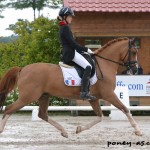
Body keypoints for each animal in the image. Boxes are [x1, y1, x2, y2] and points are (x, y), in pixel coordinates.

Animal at [0, 37, 142, 137]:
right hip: (28, 97)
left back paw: (64, 131)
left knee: (42, 114)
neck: (104, 64)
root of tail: (22, 69)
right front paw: (138, 130)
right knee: (8, 109)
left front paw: (79, 129)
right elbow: (125, 109)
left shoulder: (94, 98)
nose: (135, 70)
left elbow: (100, 116)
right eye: (134, 51)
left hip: (44, 96)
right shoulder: (109, 94)